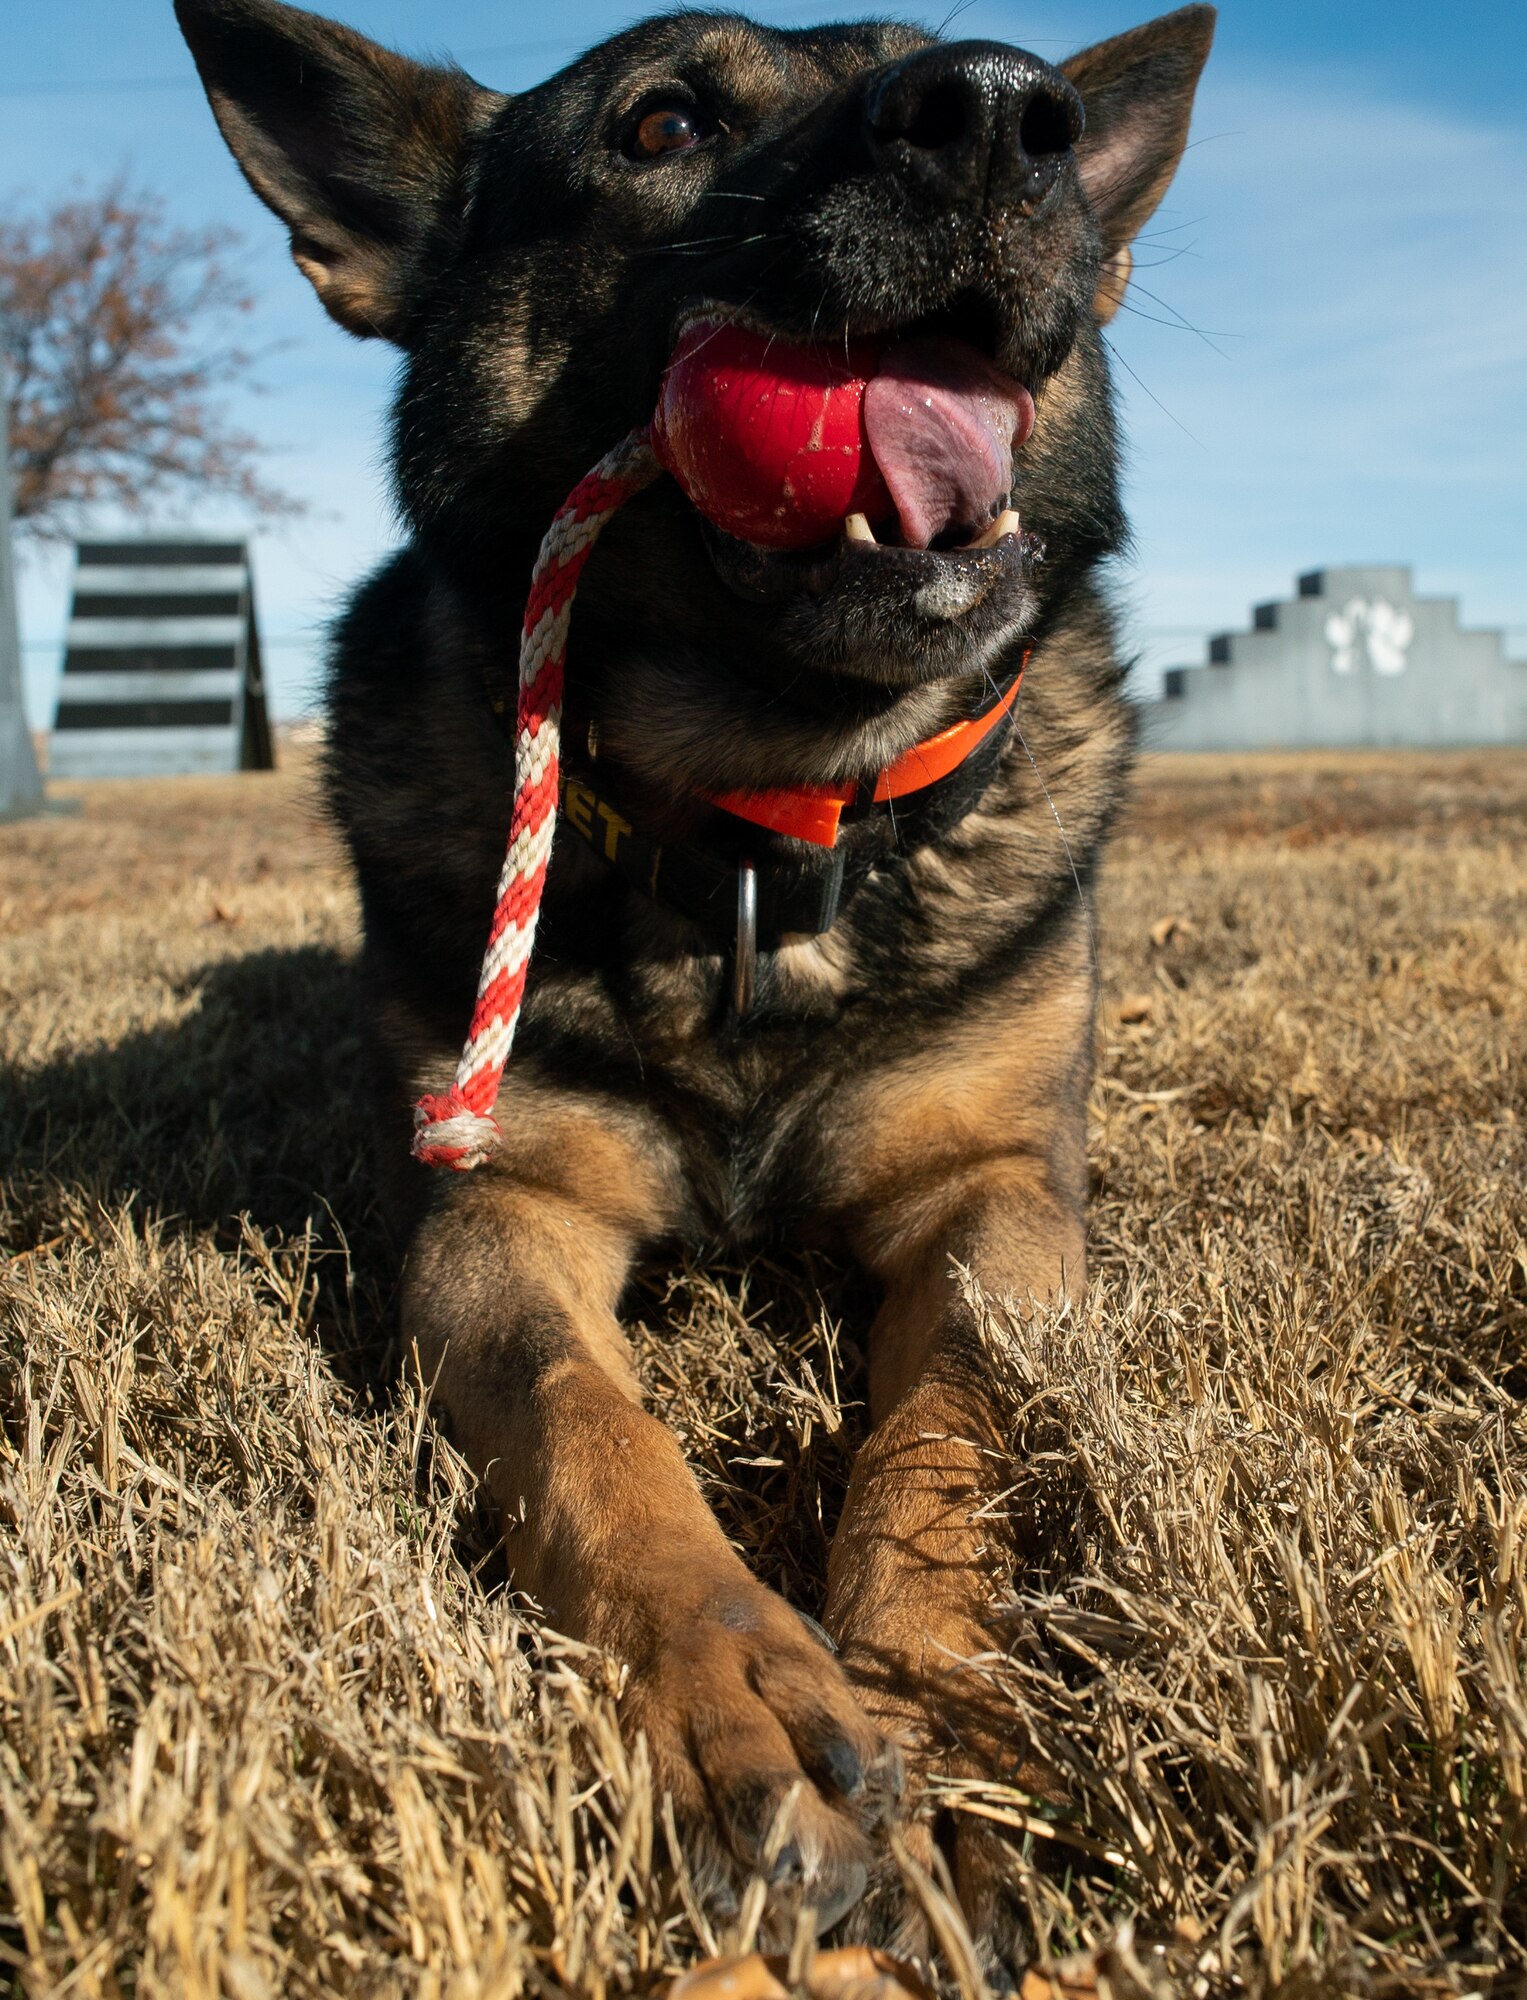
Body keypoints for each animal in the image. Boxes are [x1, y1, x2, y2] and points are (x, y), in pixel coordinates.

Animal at [175, 0, 1207, 1952]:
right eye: (662, 124)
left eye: (1001, 93)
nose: (1000, 115)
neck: (750, 835)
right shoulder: (491, 1214)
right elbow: (591, 1430)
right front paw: (745, 1693)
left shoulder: (994, 1193)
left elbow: (947, 1434)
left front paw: (938, 1703)